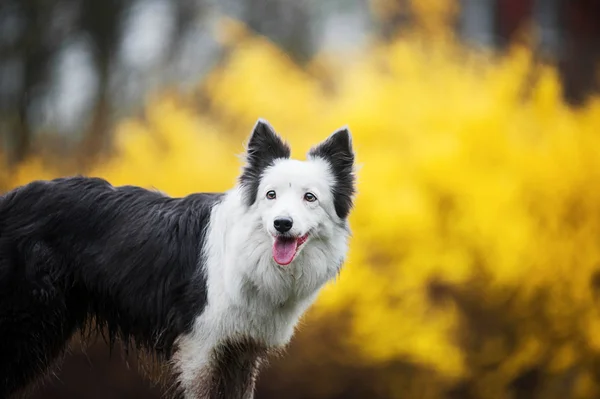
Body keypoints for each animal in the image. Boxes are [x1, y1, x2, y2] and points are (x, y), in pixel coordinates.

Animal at [0, 119, 356, 399]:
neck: (244, 253)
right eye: (271, 195)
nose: (282, 224)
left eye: (309, 198)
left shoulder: (240, 351)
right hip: (29, 329)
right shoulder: (201, 348)